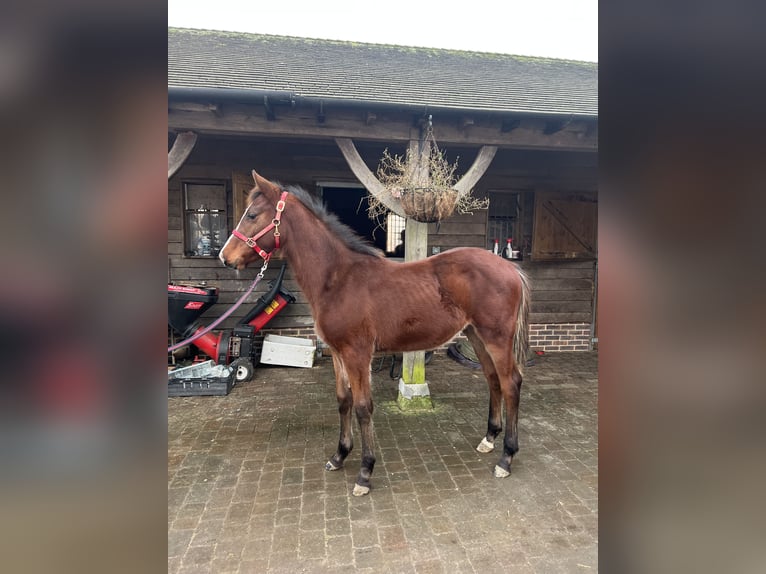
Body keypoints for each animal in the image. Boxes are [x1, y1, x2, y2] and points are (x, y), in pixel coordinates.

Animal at [222, 172, 532, 500]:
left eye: (252, 215)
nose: (224, 256)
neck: (338, 279)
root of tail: (510, 268)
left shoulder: (357, 354)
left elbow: (362, 407)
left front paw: (365, 472)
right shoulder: (338, 353)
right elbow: (343, 400)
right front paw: (339, 456)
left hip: (497, 337)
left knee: (511, 383)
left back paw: (506, 457)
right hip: (476, 335)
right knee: (493, 379)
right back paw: (489, 439)